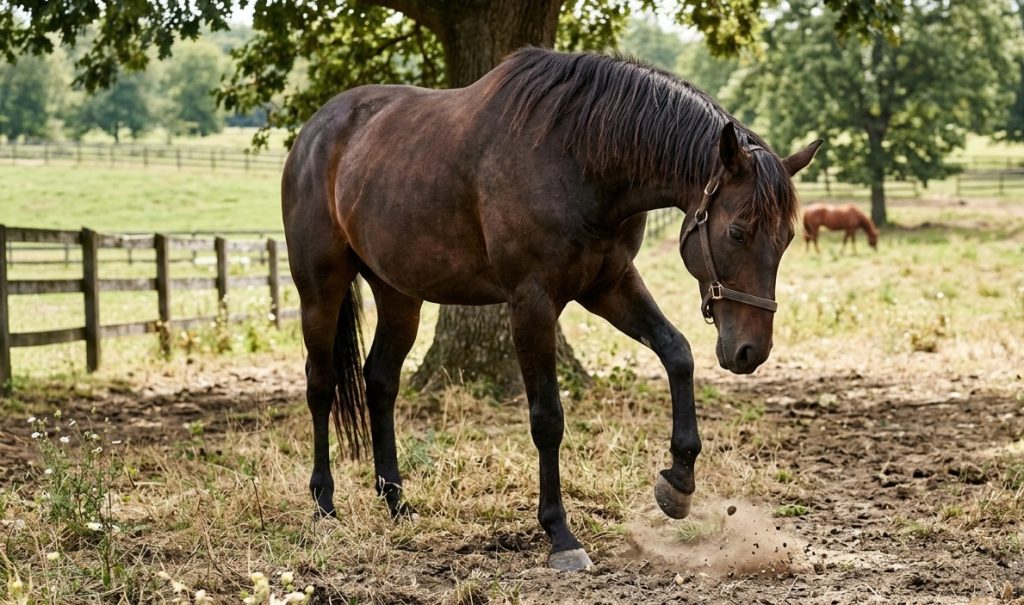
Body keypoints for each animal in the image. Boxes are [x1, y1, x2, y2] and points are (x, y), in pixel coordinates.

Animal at [282, 48, 822, 571]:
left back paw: (396, 502)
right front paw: (560, 534)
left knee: (380, 382)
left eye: (786, 238)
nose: (751, 351)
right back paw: (324, 506)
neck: (579, 158)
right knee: (321, 385)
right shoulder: (532, 301)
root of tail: (315, 130)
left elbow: (677, 353)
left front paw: (679, 480)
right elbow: (547, 417)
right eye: (737, 233)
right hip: (320, 288)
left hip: (399, 294)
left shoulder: (610, 285)